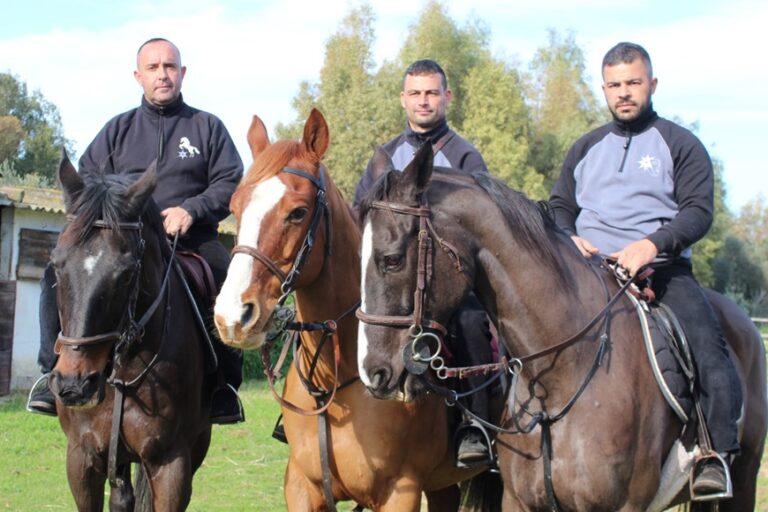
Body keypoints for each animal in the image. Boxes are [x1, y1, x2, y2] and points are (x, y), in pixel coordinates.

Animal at [213, 110, 498, 510]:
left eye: (297, 212)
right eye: (236, 208)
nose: (233, 317)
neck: (336, 378)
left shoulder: (400, 491)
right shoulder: (300, 487)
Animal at [356, 144, 768, 512]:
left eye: (392, 260)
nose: (373, 372)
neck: (560, 378)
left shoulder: (623, 507)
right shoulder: (519, 503)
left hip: (744, 479)